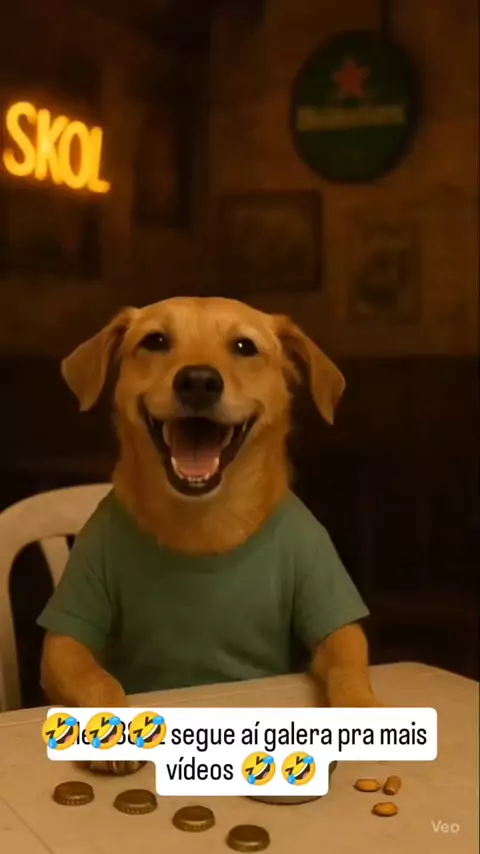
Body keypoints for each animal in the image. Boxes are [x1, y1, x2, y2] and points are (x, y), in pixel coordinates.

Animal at [39, 297, 381, 773]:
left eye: (244, 347)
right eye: (155, 341)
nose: (198, 381)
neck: (203, 525)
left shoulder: (328, 597)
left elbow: (347, 663)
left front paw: (360, 707)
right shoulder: (67, 635)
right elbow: (94, 675)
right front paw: (110, 723)